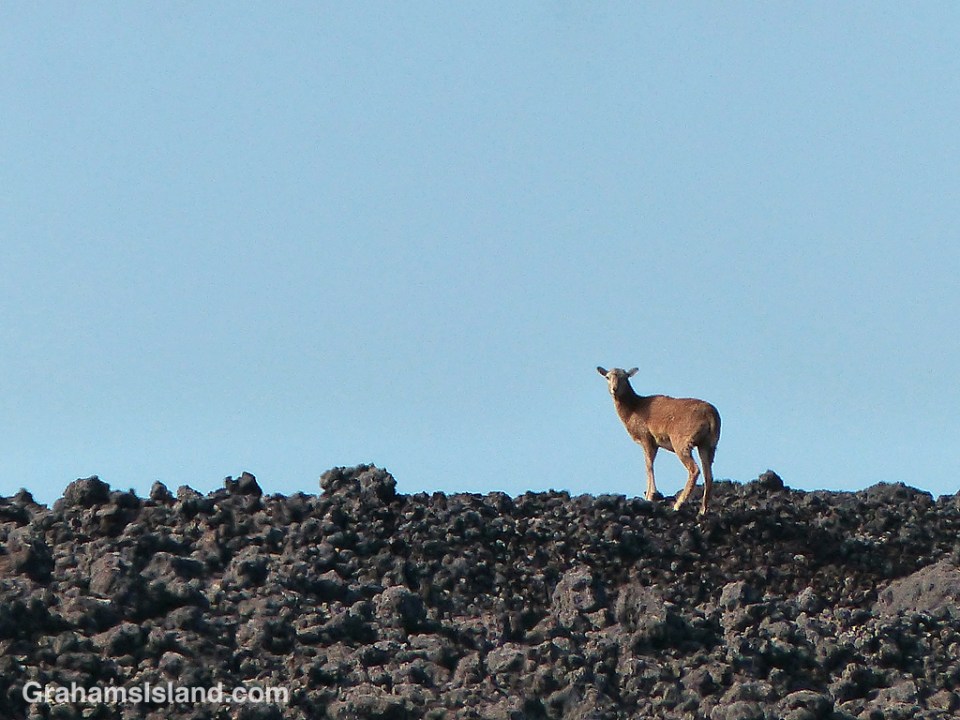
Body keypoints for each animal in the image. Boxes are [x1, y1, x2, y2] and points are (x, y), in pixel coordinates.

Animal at [597, 366, 721, 514]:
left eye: (625, 377)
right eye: (607, 377)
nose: (614, 389)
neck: (633, 409)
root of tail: (711, 415)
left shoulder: (646, 438)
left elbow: (648, 466)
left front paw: (650, 496)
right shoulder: (655, 444)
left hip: (682, 443)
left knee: (694, 470)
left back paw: (678, 504)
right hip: (708, 445)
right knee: (708, 475)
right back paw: (702, 510)